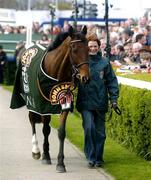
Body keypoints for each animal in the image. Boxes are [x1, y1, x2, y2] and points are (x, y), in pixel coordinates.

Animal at [10, 25, 89, 173]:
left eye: (88, 48)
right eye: (74, 49)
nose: (85, 77)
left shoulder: (64, 102)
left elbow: (61, 132)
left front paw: (60, 163)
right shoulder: (42, 105)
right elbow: (46, 129)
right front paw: (46, 156)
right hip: (31, 102)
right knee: (32, 121)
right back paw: (36, 150)